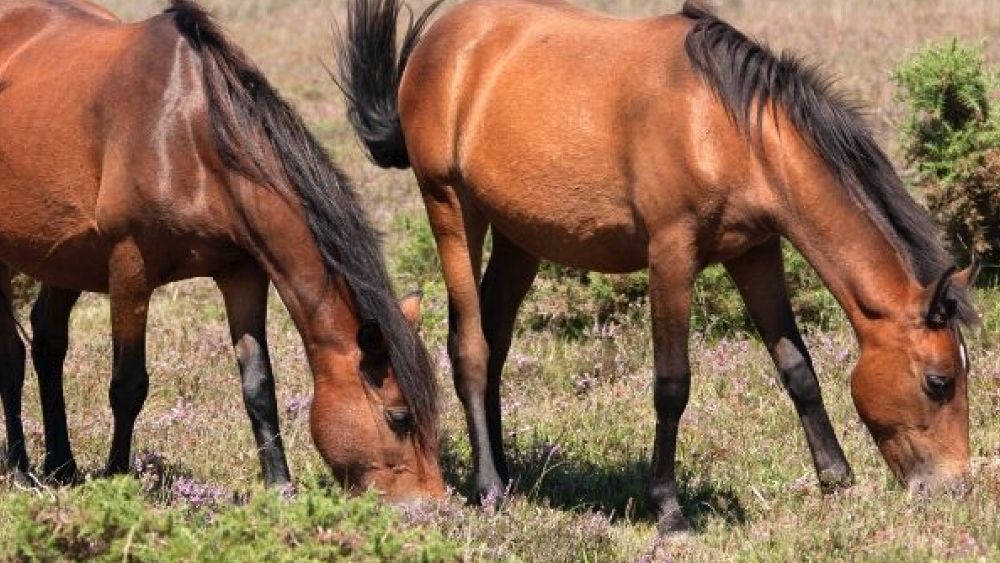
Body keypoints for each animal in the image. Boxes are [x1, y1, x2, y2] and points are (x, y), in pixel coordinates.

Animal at [0, 0, 442, 500]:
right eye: (399, 417)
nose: (435, 506)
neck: (189, 135)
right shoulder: (129, 266)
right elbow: (128, 385)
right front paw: (118, 477)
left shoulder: (241, 272)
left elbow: (259, 384)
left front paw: (279, 487)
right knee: (11, 356)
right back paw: (20, 468)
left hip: (64, 258)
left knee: (47, 342)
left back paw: (62, 467)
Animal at [340, 0, 980, 532]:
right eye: (939, 382)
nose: (953, 489)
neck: (729, 127)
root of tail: (442, 39)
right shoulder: (671, 256)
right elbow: (673, 385)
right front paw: (669, 508)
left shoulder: (755, 251)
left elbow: (797, 367)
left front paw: (836, 479)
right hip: (450, 207)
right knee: (470, 347)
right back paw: (490, 486)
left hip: (520, 237)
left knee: (495, 343)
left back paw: (507, 470)